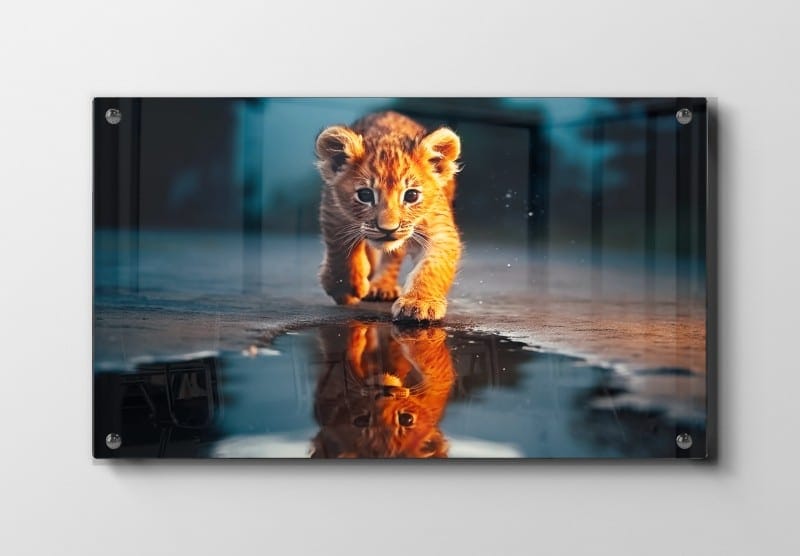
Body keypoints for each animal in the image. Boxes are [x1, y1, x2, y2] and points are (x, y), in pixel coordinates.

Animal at [311, 322, 456, 458]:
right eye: (361, 421)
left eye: (406, 419)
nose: (385, 392)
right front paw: (357, 333)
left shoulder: (438, 381)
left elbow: (425, 356)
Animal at [315, 111, 462, 322]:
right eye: (365, 195)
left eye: (411, 195)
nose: (387, 229)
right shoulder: (334, 211)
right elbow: (340, 250)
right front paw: (346, 288)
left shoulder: (439, 230)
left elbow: (432, 268)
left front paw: (419, 303)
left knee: (393, 257)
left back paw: (382, 287)